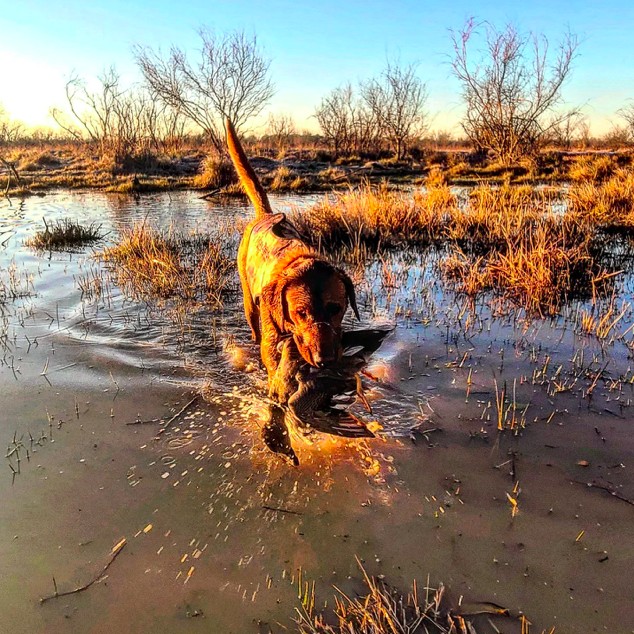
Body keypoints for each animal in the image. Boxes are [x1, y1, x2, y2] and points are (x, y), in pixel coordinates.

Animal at [225, 118, 358, 396]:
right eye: (301, 312)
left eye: (336, 308)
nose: (324, 361)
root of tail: (266, 215)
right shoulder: (271, 342)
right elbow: (273, 363)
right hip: (249, 304)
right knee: (255, 332)